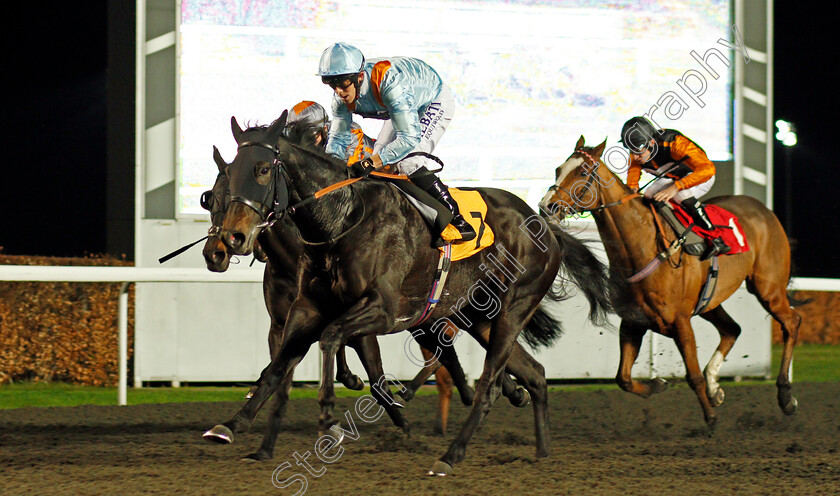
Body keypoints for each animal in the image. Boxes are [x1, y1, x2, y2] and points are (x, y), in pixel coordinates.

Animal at [210, 111, 612, 472]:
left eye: (263, 169)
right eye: (227, 175)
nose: (233, 238)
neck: (342, 218)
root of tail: (546, 227)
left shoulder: (384, 310)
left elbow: (330, 338)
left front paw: (329, 418)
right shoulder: (306, 308)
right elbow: (276, 367)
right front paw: (235, 427)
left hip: (513, 310)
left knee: (489, 387)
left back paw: (450, 456)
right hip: (481, 316)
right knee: (536, 374)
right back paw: (542, 452)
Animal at [540, 136, 804, 426]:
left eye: (583, 173)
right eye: (558, 170)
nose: (546, 206)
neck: (642, 247)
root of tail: (764, 210)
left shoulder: (680, 322)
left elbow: (692, 375)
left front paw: (711, 419)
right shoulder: (633, 322)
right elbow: (623, 378)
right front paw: (658, 384)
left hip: (768, 288)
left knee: (791, 323)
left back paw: (786, 396)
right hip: (711, 301)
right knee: (732, 329)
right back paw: (715, 388)